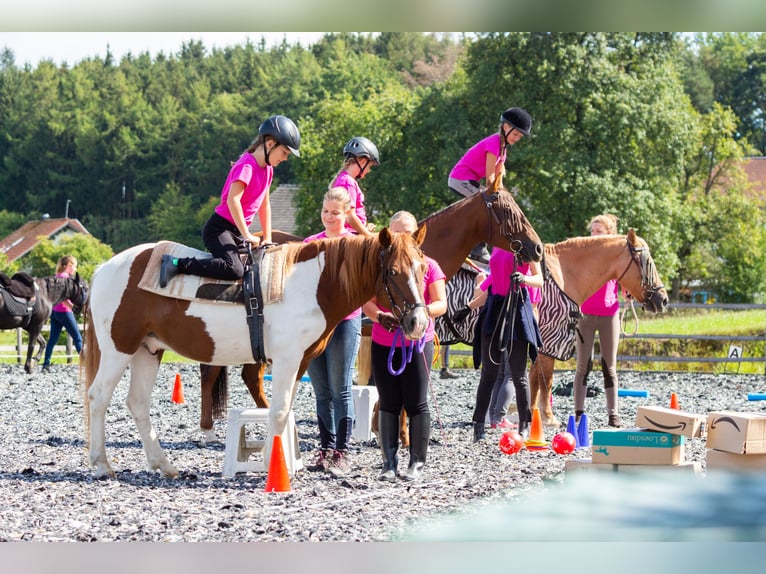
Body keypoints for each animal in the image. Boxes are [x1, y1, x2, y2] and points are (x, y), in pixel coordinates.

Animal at [85, 227, 432, 480]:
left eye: (422, 268)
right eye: (394, 272)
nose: (418, 322)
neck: (312, 284)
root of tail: (103, 269)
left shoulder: (301, 361)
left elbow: (284, 411)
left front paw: (281, 459)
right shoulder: (287, 359)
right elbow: (277, 412)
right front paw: (273, 466)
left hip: (148, 350)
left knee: (137, 403)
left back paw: (164, 465)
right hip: (119, 349)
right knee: (98, 397)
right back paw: (102, 464)